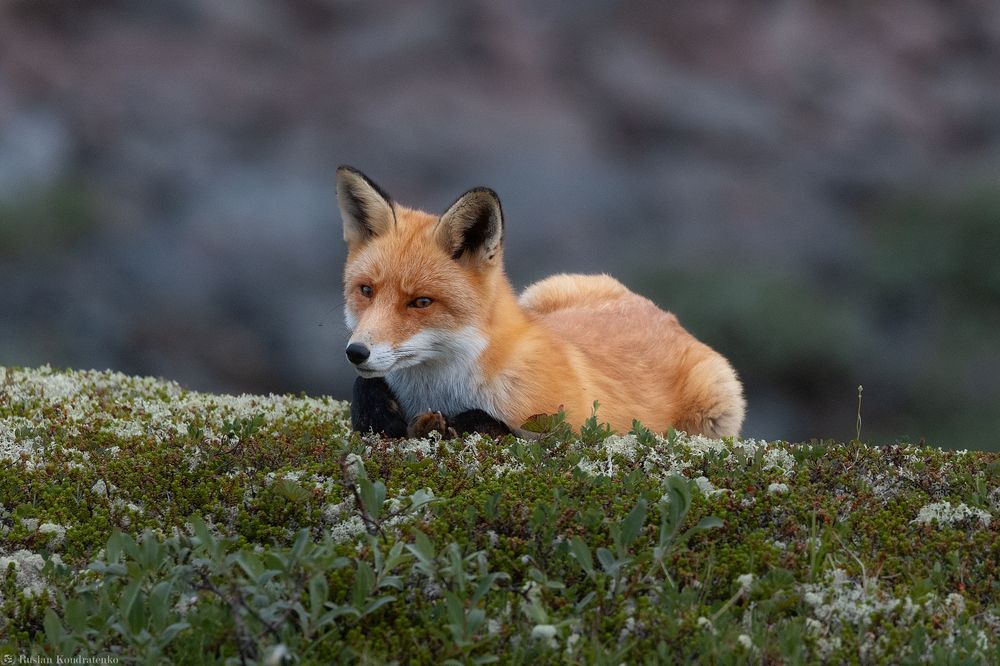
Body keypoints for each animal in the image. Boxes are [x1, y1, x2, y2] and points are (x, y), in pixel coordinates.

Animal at [337, 166, 745, 440]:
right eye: (366, 290)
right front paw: (384, 414)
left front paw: (446, 424)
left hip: (714, 411)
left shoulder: (574, 431)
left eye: (421, 301)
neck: (437, 391)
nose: (356, 352)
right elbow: (363, 395)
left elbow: (494, 423)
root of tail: (660, 312)